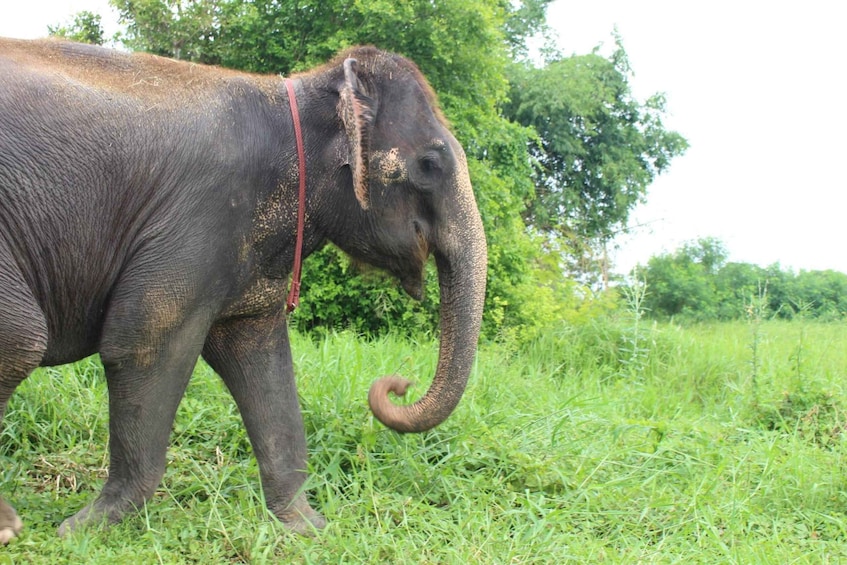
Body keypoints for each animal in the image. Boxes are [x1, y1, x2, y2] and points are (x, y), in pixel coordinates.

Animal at [0, 38, 486, 541]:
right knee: (21, 341)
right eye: (430, 164)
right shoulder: (200, 213)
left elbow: (261, 359)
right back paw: (10, 527)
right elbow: (143, 343)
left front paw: (306, 527)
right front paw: (84, 529)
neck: (300, 94)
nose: (399, 384)